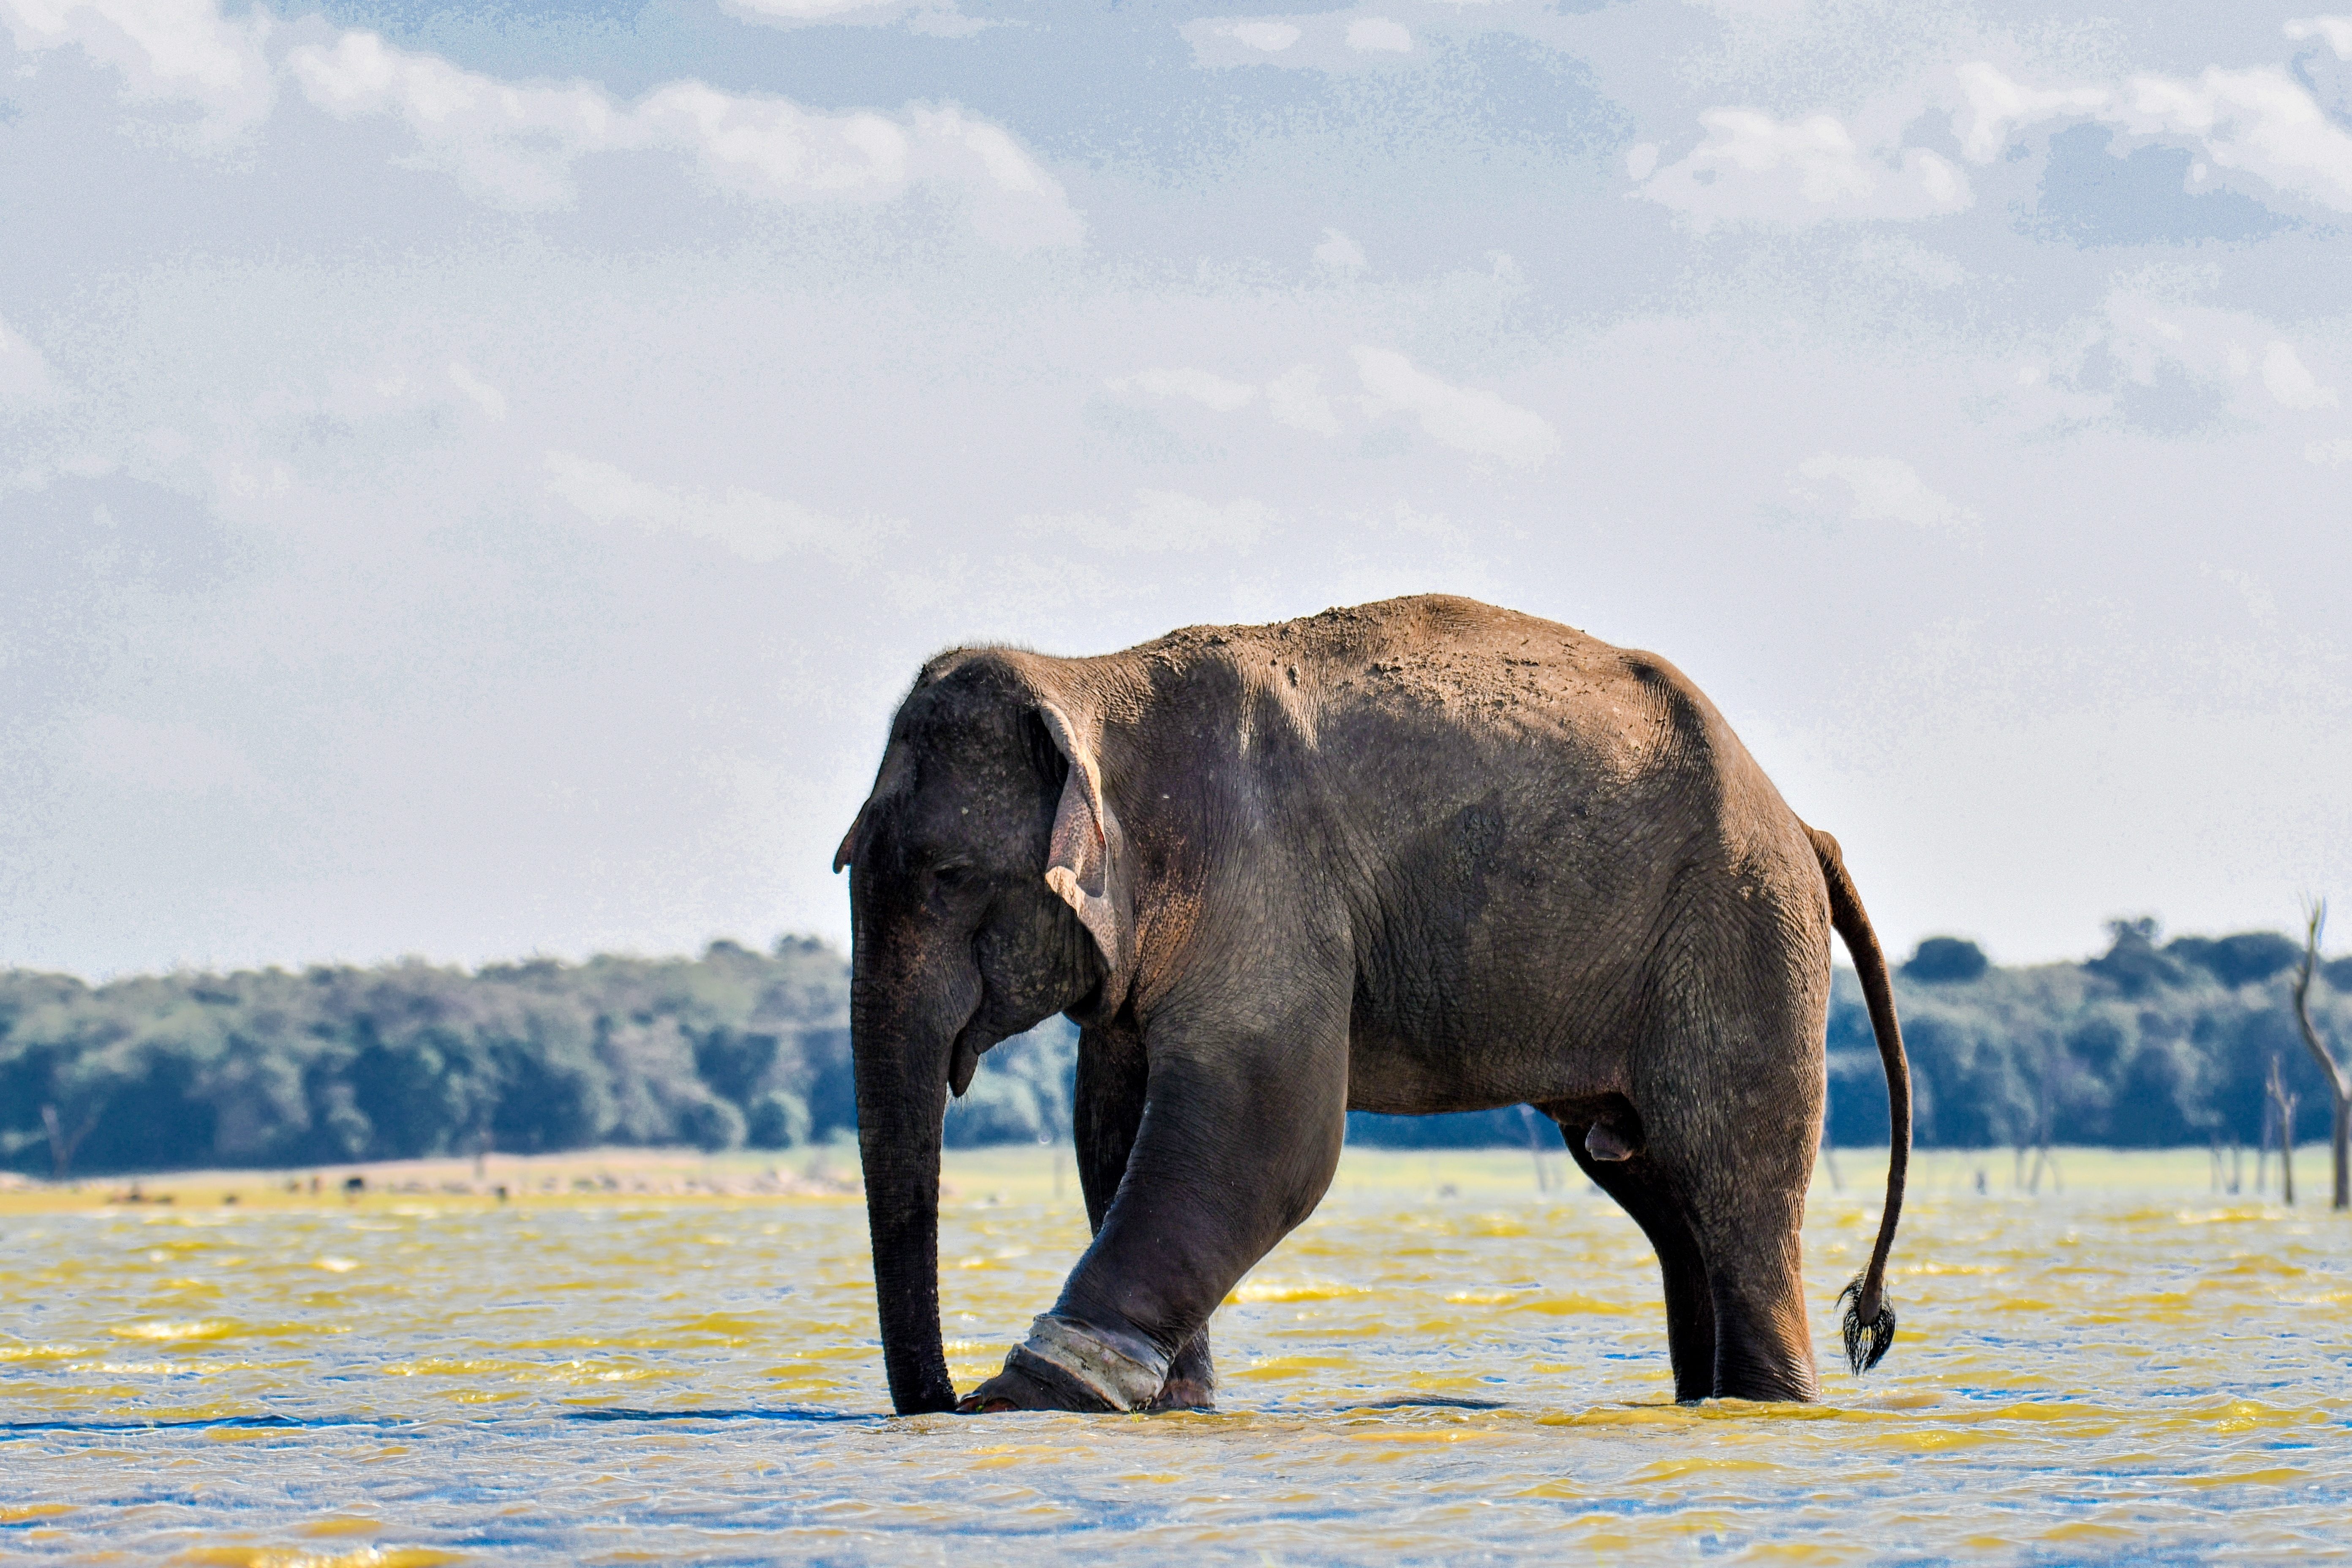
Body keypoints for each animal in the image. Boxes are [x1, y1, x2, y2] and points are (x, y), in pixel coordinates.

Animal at [832, 594, 1912, 1415]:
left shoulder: (1262, 877)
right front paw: (1174, 1408)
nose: (939, 1404)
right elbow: (1114, 1129)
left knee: (1728, 1181)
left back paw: (1768, 1402)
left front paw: (1016, 1405)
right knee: (1660, 1193)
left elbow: (1268, 1136)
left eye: (948, 875)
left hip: (1739, 938)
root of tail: (1803, 824)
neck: (1094, 679)